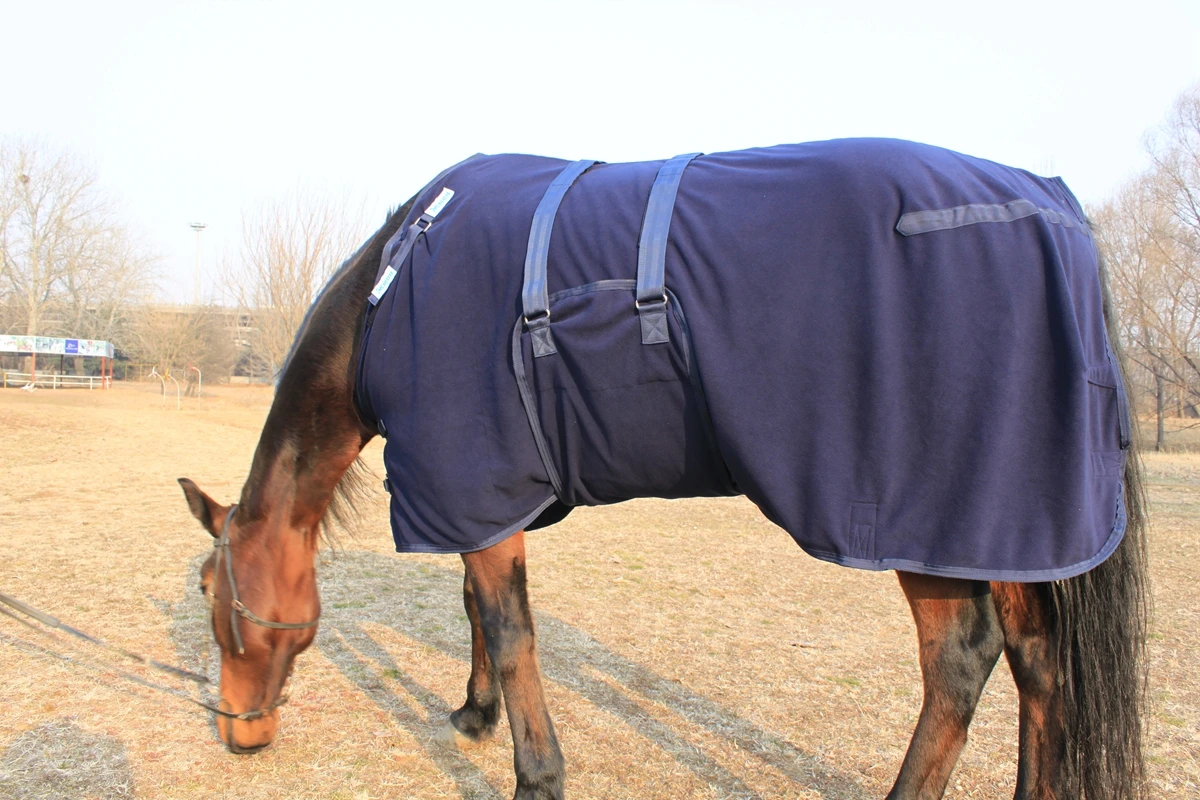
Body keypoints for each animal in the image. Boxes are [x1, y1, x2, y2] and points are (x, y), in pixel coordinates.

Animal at [178, 139, 1148, 800]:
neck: (393, 290)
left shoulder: (470, 484)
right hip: (1007, 523)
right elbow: (477, 611)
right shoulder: (482, 500)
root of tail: (1052, 205)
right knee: (1037, 662)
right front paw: (474, 713)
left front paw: (534, 773)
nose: (239, 735)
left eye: (209, 592)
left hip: (930, 525)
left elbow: (510, 629)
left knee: (961, 661)